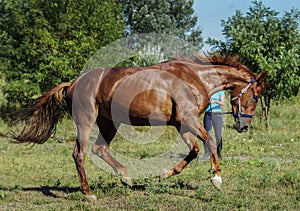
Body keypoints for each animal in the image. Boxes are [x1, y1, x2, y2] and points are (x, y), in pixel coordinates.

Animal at [13, 53, 268, 200]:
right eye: (256, 96)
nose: (244, 126)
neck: (194, 79)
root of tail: (74, 83)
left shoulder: (183, 124)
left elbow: (194, 150)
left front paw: (165, 174)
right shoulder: (190, 121)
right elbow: (211, 142)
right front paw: (217, 179)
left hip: (109, 123)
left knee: (100, 149)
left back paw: (126, 177)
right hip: (86, 121)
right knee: (80, 154)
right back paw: (88, 193)